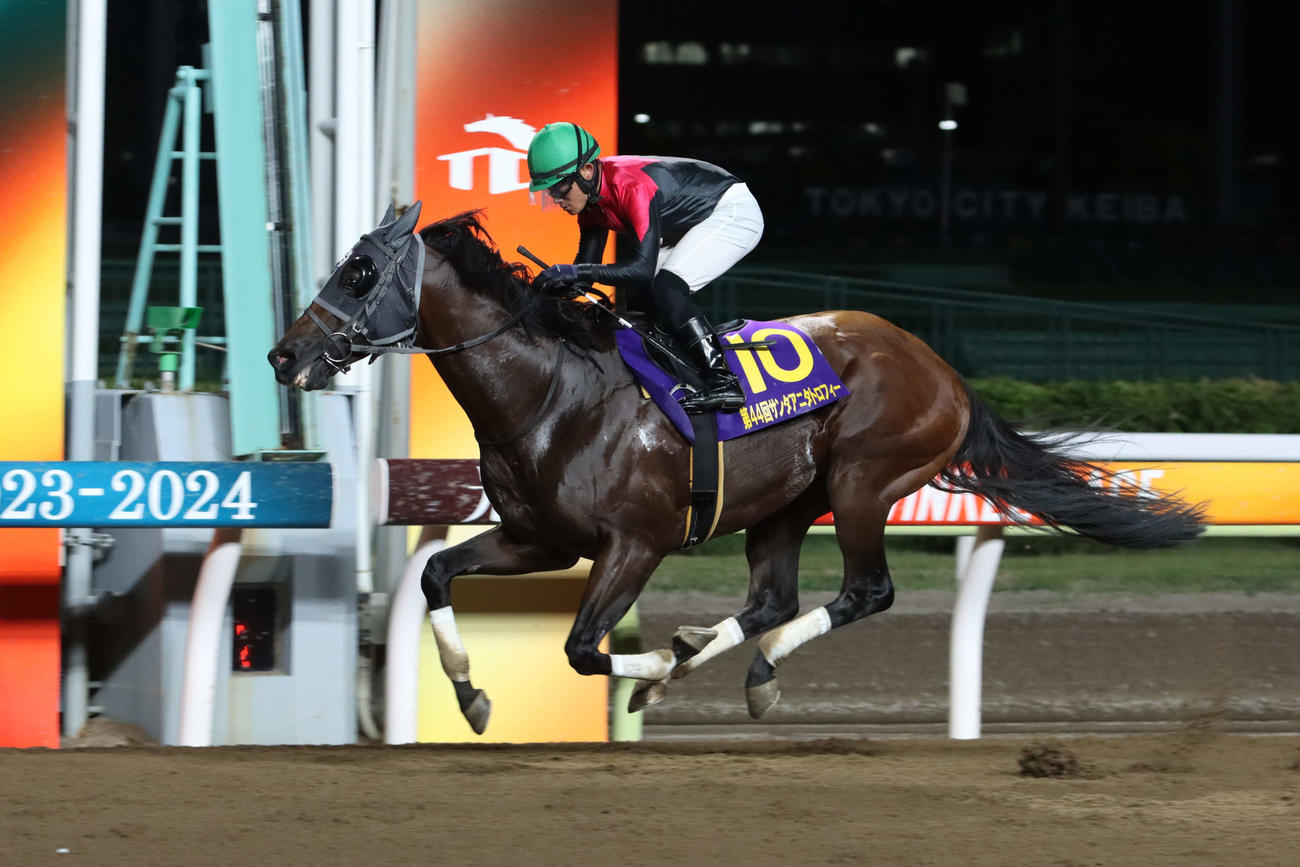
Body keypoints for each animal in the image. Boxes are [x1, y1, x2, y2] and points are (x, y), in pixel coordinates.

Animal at [269, 203, 1205, 735]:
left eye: (359, 271)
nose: (284, 355)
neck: (550, 391)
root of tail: (946, 371)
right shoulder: (538, 537)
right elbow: (434, 575)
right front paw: (470, 695)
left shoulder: (635, 542)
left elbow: (583, 648)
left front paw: (649, 668)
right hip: (787, 501)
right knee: (772, 599)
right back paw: (718, 658)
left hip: (862, 481)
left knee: (863, 591)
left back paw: (742, 669)